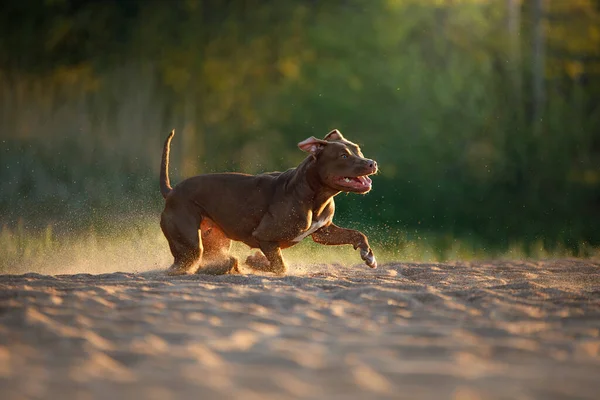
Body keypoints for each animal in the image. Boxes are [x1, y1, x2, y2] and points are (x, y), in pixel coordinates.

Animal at [157, 128, 378, 276]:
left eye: (358, 150)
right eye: (343, 156)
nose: (372, 163)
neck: (315, 195)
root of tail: (171, 191)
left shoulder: (323, 232)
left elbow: (357, 234)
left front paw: (369, 256)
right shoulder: (264, 236)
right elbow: (280, 266)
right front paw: (256, 261)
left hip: (216, 240)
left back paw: (227, 266)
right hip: (190, 243)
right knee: (182, 264)